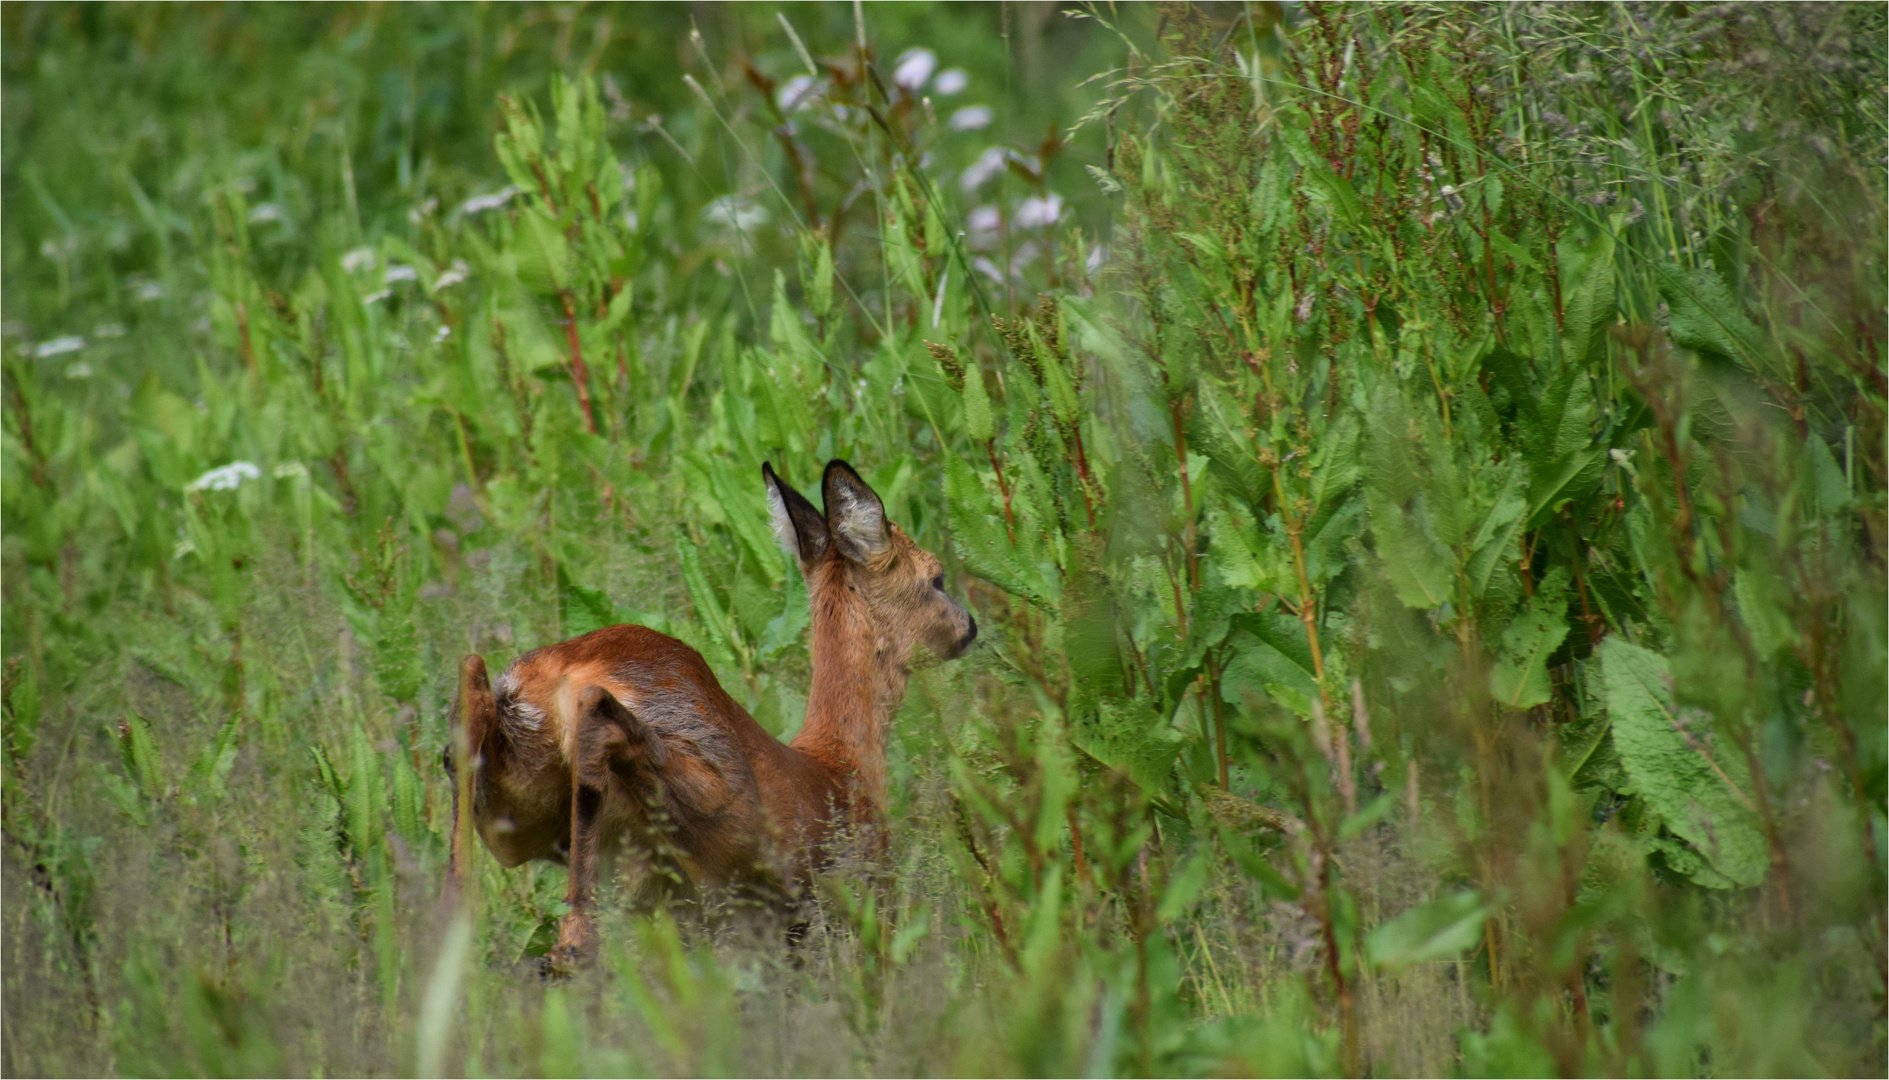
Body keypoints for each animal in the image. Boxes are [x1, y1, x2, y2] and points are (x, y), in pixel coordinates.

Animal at [443, 460, 974, 966]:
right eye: (936, 577)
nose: (969, 625)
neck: (845, 762)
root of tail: (559, 669)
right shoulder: (864, 899)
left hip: (525, 812)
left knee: (470, 694)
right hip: (716, 803)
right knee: (599, 717)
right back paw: (570, 944)